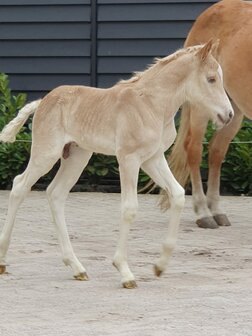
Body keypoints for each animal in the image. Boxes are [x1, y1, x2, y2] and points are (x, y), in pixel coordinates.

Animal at [0, 40, 232, 288]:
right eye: (211, 79)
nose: (228, 115)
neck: (152, 105)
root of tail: (43, 101)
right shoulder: (129, 159)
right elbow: (129, 208)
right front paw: (125, 272)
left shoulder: (153, 158)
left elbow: (178, 194)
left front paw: (160, 266)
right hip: (46, 153)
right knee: (19, 186)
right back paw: (3, 260)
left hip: (77, 156)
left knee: (56, 194)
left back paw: (77, 267)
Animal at [161, 0, 252, 228]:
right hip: (202, 108)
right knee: (194, 150)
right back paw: (203, 213)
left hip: (231, 110)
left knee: (216, 151)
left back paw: (217, 210)